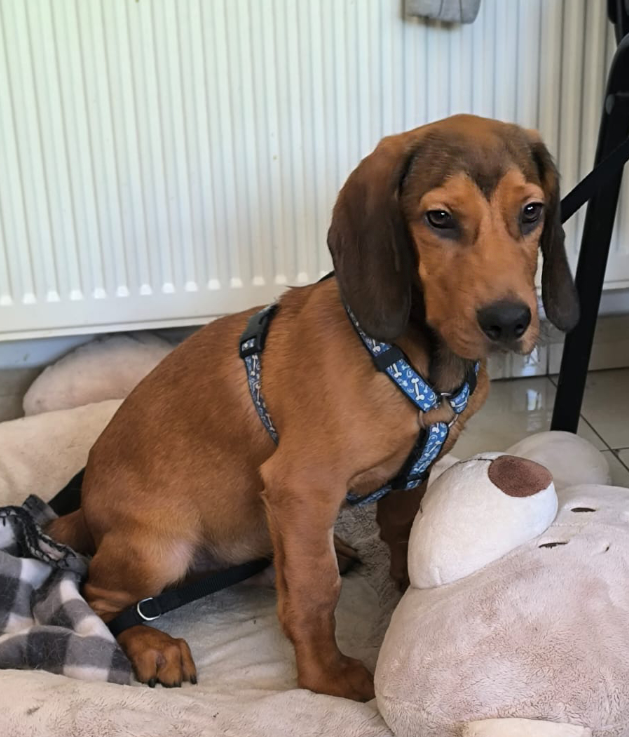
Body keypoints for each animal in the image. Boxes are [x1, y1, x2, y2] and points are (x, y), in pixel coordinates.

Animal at [48, 114, 579, 701]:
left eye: (531, 211)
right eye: (439, 218)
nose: (509, 322)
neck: (418, 361)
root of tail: (84, 512)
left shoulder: (410, 476)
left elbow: (402, 532)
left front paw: (405, 591)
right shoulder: (302, 487)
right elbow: (314, 590)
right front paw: (327, 676)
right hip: (158, 548)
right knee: (97, 597)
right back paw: (151, 644)